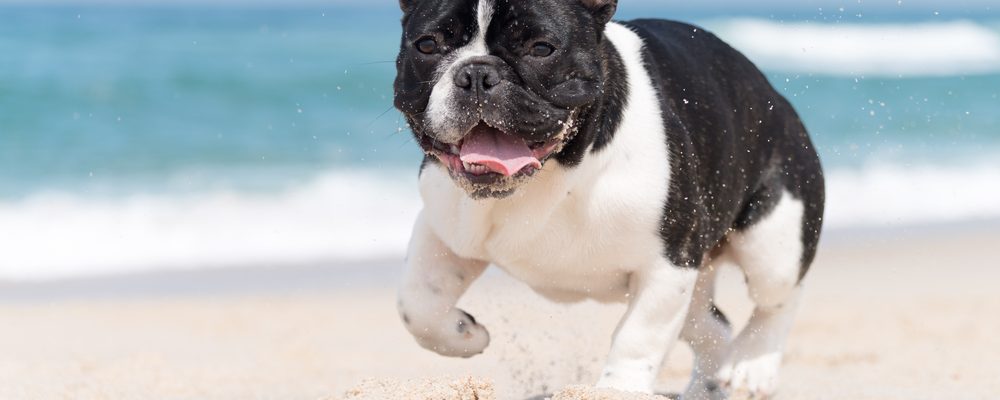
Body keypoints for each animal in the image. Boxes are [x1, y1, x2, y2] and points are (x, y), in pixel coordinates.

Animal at [394, 0, 824, 396]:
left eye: (541, 48)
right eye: (427, 45)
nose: (478, 73)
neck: (557, 170)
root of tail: (775, 96)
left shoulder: (669, 262)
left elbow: (639, 335)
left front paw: (620, 388)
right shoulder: (443, 229)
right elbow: (417, 303)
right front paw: (464, 333)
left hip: (772, 243)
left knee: (780, 297)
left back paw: (754, 369)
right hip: (698, 284)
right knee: (712, 327)